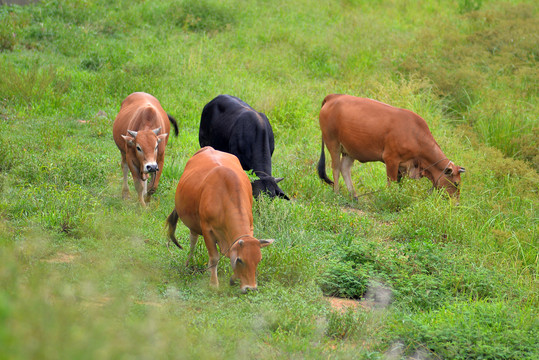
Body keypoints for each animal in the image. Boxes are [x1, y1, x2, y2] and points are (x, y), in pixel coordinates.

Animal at [166, 146, 276, 292]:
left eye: (259, 260)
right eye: (240, 260)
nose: (250, 288)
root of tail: (208, 148)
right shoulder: (207, 229)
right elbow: (214, 257)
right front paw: (214, 283)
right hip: (193, 224)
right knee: (193, 241)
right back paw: (189, 263)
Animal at [318, 94, 466, 198]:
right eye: (456, 183)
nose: (457, 203)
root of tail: (334, 96)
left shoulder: (404, 167)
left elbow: (400, 184)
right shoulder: (391, 160)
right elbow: (391, 183)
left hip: (350, 150)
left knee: (345, 168)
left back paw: (353, 196)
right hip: (333, 143)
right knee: (336, 168)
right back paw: (337, 192)